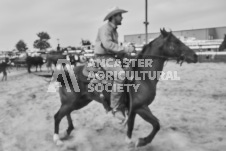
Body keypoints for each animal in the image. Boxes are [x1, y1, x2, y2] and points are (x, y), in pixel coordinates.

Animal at [53, 28, 198, 147]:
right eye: (176, 42)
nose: (195, 56)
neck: (143, 75)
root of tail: (65, 73)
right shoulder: (141, 107)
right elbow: (156, 124)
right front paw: (142, 141)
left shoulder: (134, 109)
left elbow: (131, 126)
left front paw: (130, 141)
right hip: (71, 102)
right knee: (57, 116)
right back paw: (57, 139)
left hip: (80, 102)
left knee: (66, 113)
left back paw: (67, 131)